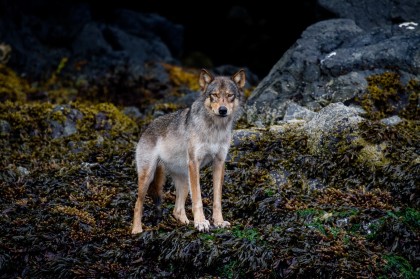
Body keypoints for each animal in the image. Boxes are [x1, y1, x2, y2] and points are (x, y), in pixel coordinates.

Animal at [131, 68, 246, 234]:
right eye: (214, 95)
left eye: (230, 95)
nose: (222, 110)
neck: (215, 129)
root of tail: (147, 128)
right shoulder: (194, 163)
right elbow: (198, 199)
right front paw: (201, 223)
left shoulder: (219, 163)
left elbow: (217, 199)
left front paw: (218, 222)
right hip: (148, 176)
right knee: (137, 204)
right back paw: (137, 230)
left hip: (184, 180)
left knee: (177, 210)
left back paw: (185, 223)